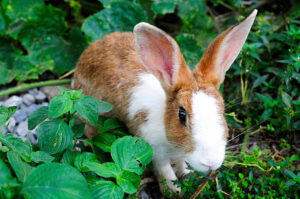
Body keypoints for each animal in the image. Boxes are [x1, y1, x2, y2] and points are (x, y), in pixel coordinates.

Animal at [73, 9, 258, 193]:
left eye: (222, 110)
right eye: (181, 115)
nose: (210, 162)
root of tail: (89, 51)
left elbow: (181, 165)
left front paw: (187, 175)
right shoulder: (154, 149)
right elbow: (165, 171)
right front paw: (174, 190)